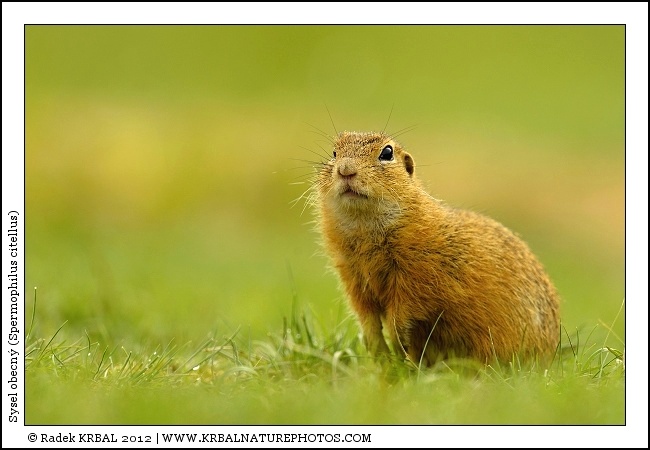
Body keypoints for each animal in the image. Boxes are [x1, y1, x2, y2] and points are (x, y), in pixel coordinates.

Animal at [312, 131, 560, 366]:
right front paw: (378, 349)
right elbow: (366, 315)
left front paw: (397, 346)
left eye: (387, 152)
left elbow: (403, 311)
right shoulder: (353, 277)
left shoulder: (417, 278)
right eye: (334, 152)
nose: (345, 170)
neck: (365, 227)